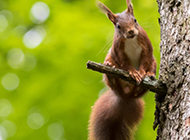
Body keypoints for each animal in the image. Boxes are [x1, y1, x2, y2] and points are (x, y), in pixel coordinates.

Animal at [88, 0, 157, 140]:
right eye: (118, 26)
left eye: (135, 20)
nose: (130, 31)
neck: (131, 40)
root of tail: (125, 95)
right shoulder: (118, 51)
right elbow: (125, 64)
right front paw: (134, 73)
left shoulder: (146, 47)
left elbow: (145, 60)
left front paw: (142, 73)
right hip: (109, 65)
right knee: (113, 83)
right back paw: (110, 71)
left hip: (154, 63)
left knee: (149, 71)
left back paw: (150, 76)